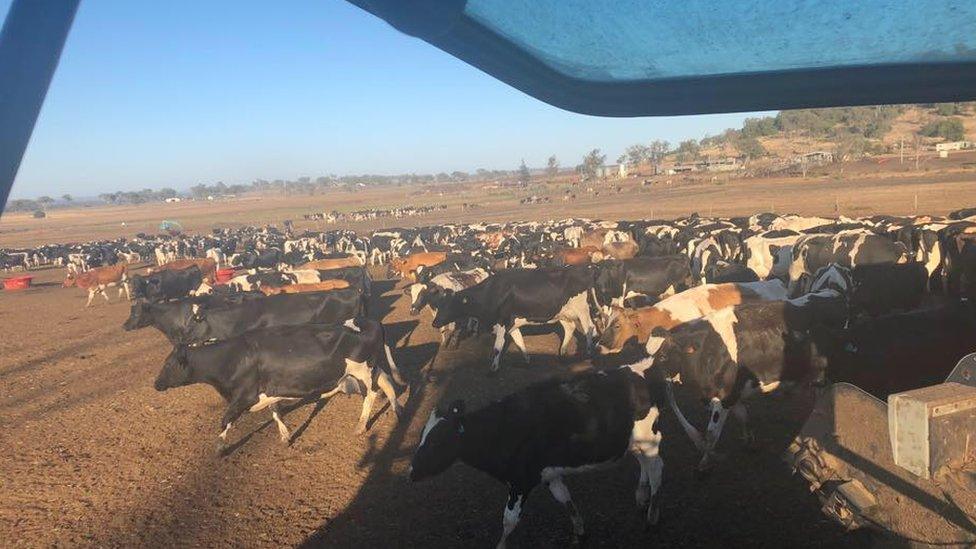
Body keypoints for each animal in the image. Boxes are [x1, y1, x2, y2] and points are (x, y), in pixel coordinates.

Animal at [155, 316, 404, 450]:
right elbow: (275, 412)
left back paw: (361, 426)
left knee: (371, 395)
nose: (156, 384)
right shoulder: (268, 390)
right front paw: (285, 436)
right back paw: (398, 410)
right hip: (372, 369)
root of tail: (368, 321)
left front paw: (220, 446)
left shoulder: (244, 395)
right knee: (387, 383)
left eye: (168, 364)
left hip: (363, 371)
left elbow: (226, 420)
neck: (233, 357)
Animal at [406, 360, 672, 544]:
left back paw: (652, 516)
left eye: (437, 442)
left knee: (657, 469)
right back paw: (641, 496)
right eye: (421, 437)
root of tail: (642, 368)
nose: (411, 472)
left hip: (650, 439)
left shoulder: (520, 482)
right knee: (644, 464)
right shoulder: (549, 475)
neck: (502, 429)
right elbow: (565, 500)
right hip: (633, 441)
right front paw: (579, 531)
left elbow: (509, 521)